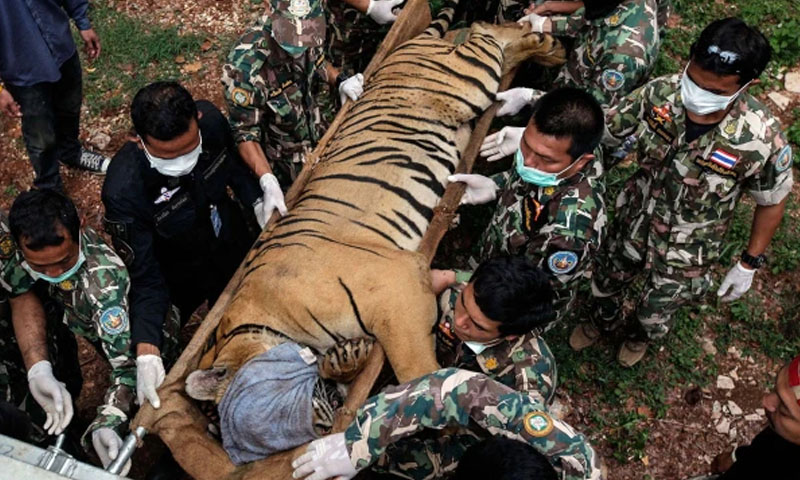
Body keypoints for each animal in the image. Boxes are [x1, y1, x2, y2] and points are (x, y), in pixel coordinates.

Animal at [185, 7, 566, 403]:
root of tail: (411, 46)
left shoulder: (396, 285)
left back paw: (542, 41)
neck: (261, 320)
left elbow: (416, 369)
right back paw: (546, 44)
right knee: (489, 36)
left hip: (466, 81)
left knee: (482, 33)